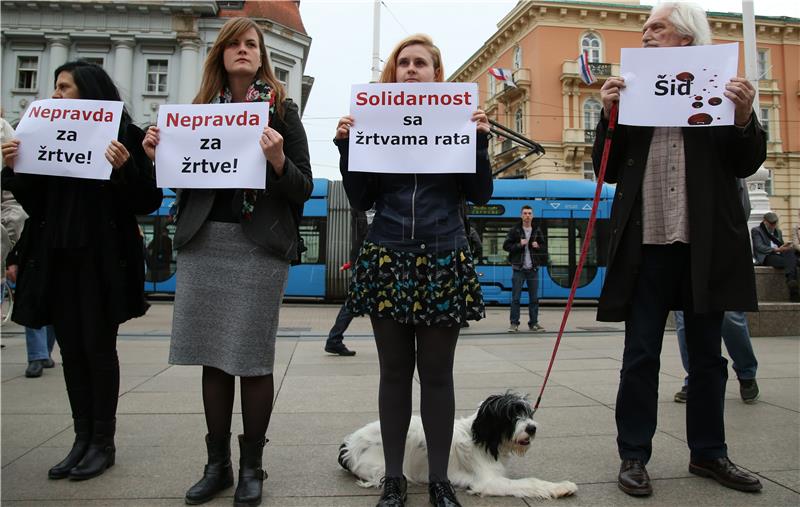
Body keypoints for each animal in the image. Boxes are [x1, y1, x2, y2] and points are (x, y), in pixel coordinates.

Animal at [336, 392, 576, 500]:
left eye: (527, 413)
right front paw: (561, 487)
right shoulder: (488, 482)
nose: (532, 428)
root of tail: (349, 444)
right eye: (510, 416)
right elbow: (529, 482)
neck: (482, 438)